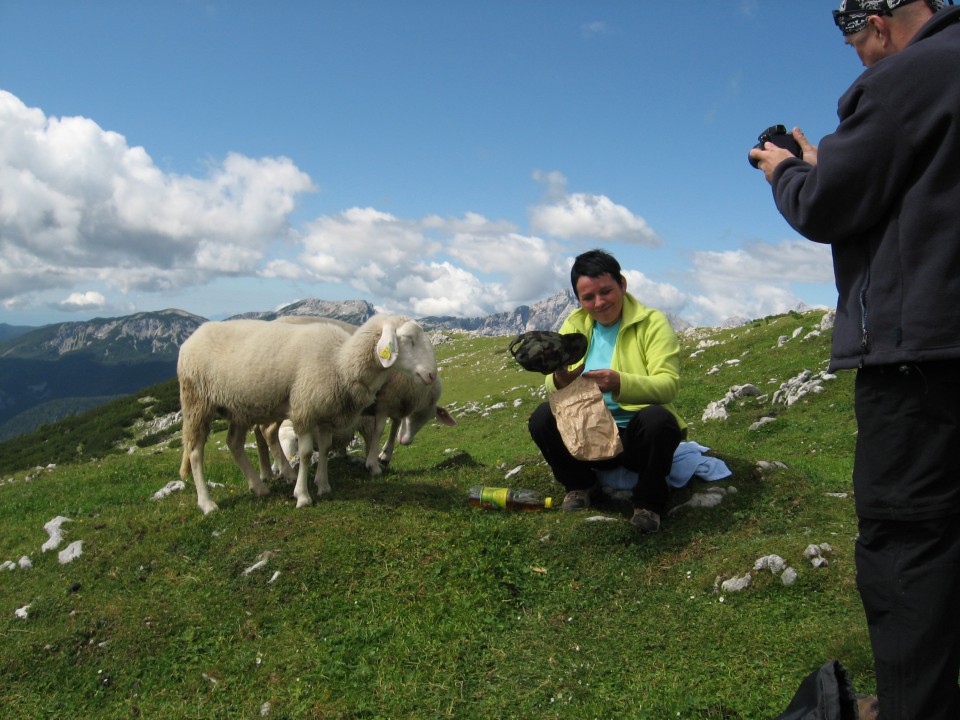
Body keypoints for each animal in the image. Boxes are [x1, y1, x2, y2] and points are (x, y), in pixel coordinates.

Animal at [177, 314, 438, 512]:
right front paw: (302, 495)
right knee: (195, 452)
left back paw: (259, 487)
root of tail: (191, 338)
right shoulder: (304, 410)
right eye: (408, 339)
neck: (339, 363)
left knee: (234, 443)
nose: (431, 375)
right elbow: (304, 453)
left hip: (239, 407)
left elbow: (324, 447)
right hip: (197, 400)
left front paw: (323, 485)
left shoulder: (325, 413)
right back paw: (207, 503)